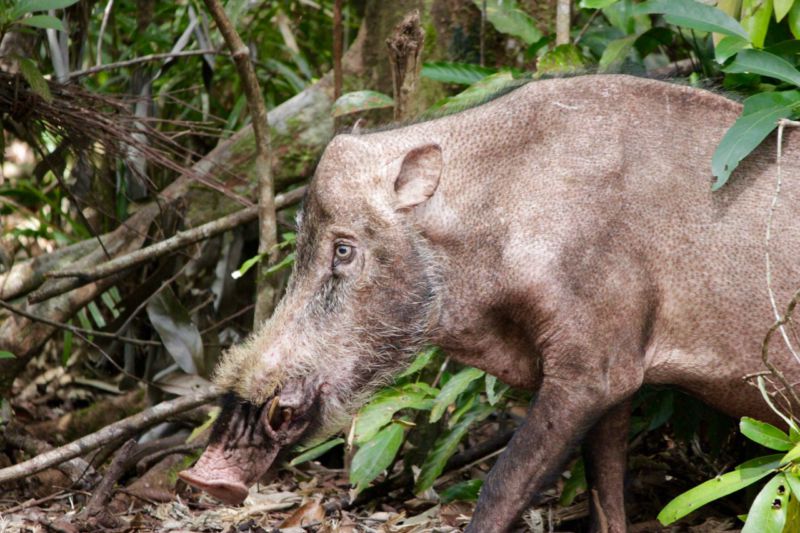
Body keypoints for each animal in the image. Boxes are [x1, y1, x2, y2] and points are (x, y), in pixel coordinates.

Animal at [179, 74, 800, 532]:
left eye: (343, 249)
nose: (201, 476)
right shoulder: (622, 368)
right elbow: (606, 494)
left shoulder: (594, 368)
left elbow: (501, 485)